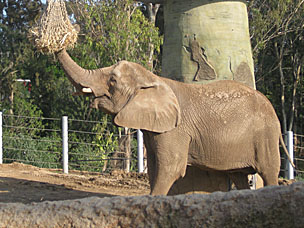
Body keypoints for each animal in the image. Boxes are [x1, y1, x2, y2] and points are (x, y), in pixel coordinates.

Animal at [55, 50, 294, 196]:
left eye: (112, 81)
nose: (57, 42)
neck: (153, 78)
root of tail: (274, 113)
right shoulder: (155, 128)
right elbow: (154, 167)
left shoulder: (175, 129)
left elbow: (171, 167)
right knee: (239, 176)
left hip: (265, 136)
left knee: (268, 171)